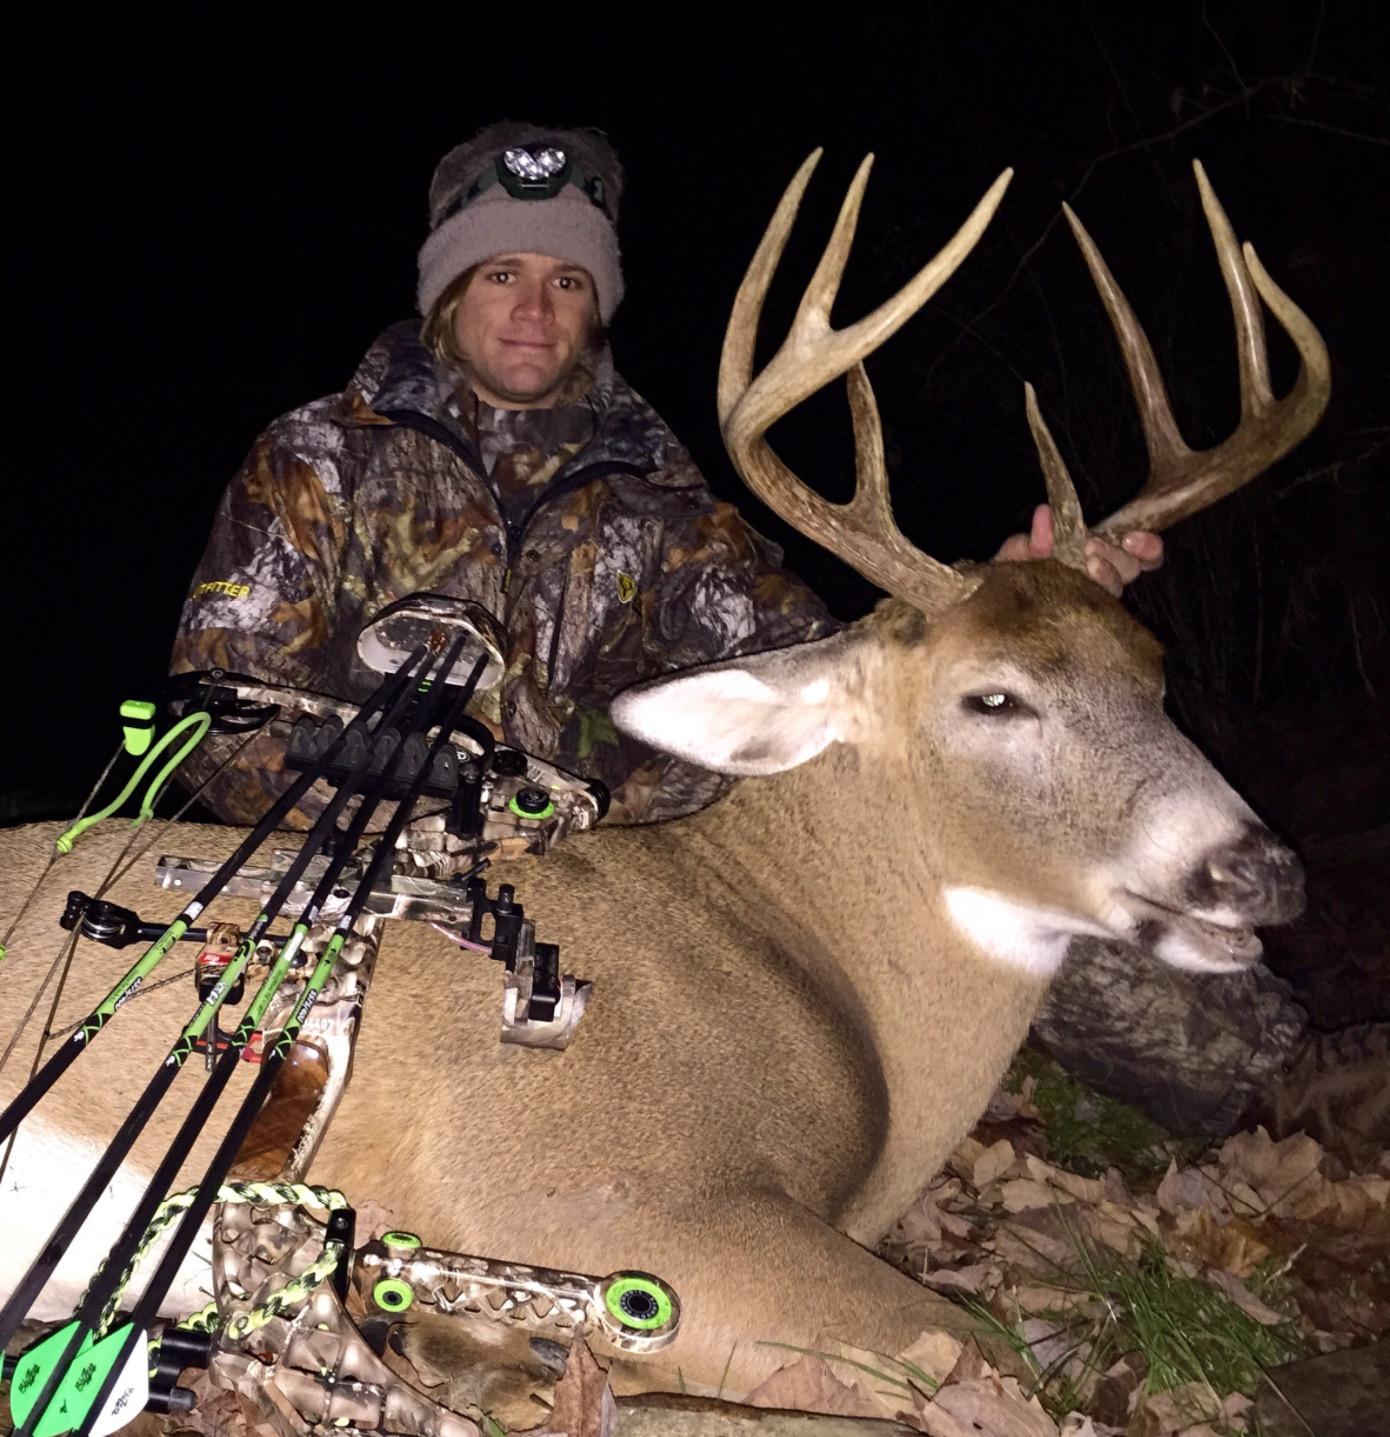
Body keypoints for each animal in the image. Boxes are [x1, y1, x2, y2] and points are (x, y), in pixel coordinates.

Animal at [0, 152, 1328, 1427]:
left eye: (1154, 670)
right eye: (992, 698)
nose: (1262, 870)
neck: (836, 992)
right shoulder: (581, 1193)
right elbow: (979, 1358)